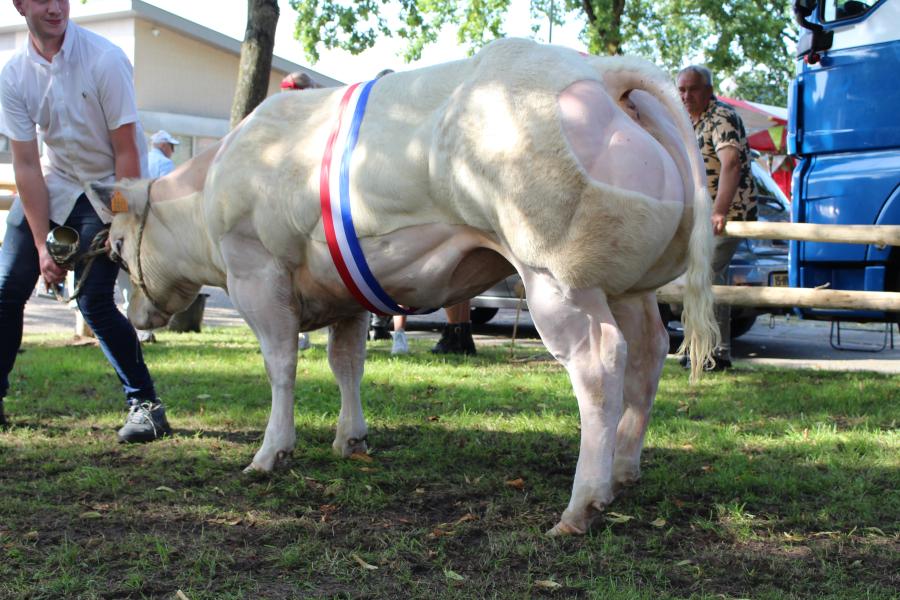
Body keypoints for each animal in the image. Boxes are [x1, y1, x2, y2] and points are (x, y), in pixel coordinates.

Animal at [91, 38, 716, 536]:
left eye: (116, 247)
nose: (137, 315)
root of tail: (604, 71)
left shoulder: (258, 275)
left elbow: (281, 365)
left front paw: (271, 453)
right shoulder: (344, 292)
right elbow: (346, 364)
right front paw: (351, 440)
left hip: (557, 278)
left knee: (600, 363)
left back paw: (582, 503)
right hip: (627, 285)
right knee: (648, 354)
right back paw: (624, 470)